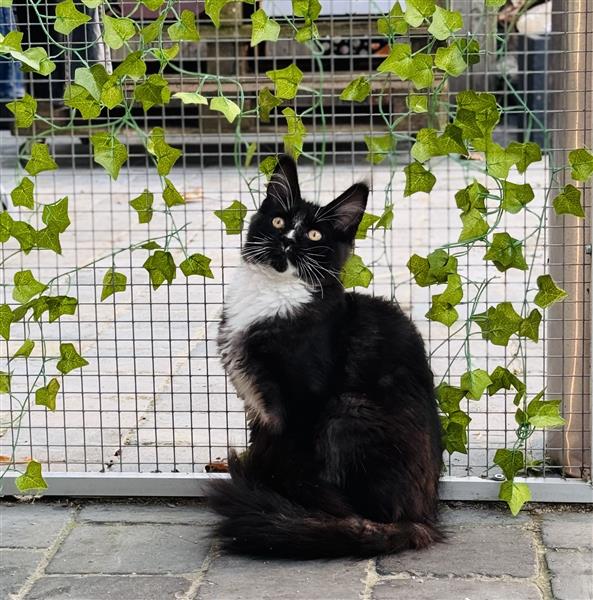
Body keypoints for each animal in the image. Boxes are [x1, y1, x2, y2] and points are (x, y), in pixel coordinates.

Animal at [210, 155, 442, 556]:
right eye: (279, 222)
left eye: (315, 235)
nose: (287, 241)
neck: (274, 295)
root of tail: (422, 518)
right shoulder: (259, 410)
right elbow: (263, 446)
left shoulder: (304, 400)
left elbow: (289, 457)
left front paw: (275, 500)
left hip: (346, 408)